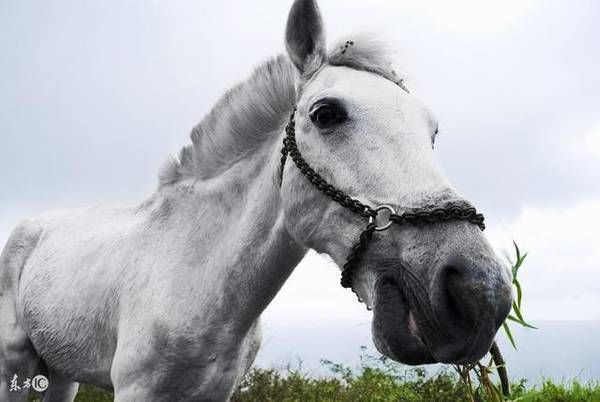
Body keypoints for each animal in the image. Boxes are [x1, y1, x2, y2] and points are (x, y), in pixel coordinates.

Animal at [2, 1, 512, 400]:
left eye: (432, 132)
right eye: (326, 114)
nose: (481, 294)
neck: (199, 279)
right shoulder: (135, 391)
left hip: (61, 375)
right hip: (16, 368)